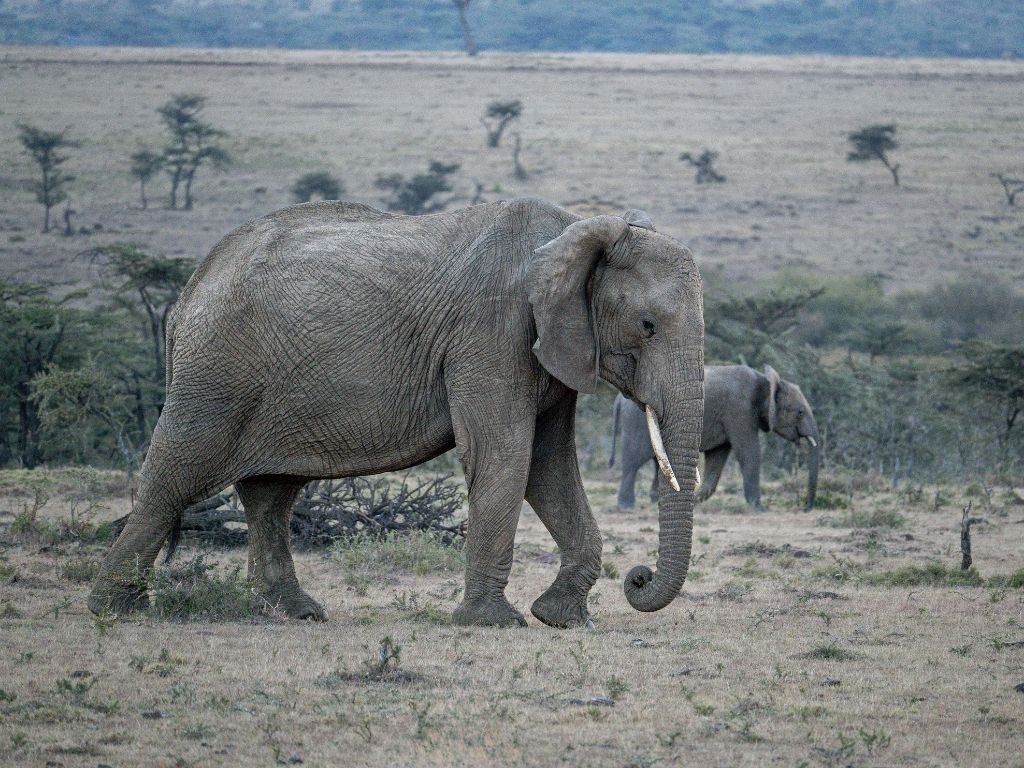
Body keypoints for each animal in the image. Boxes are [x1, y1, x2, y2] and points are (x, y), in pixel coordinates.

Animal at [88, 198, 705, 628]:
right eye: (648, 325)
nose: (639, 578)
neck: (577, 228)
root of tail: (189, 291)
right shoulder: (490, 333)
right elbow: (505, 456)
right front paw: (493, 623)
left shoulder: (552, 347)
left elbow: (549, 469)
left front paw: (561, 619)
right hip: (216, 371)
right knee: (174, 475)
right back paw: (113, 608)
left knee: (270, 493)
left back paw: (299, 612)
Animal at [610, 364, 818, 512]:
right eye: (800, 412)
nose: (806, 508)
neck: (765, 380)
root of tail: (619, 399)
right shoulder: (740, 410)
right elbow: (749, 453)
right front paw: (760, 510)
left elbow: (716, 458)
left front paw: (695, 501)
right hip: (637, 422)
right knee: (633, 461)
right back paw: (626, 506)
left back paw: (655, 501)